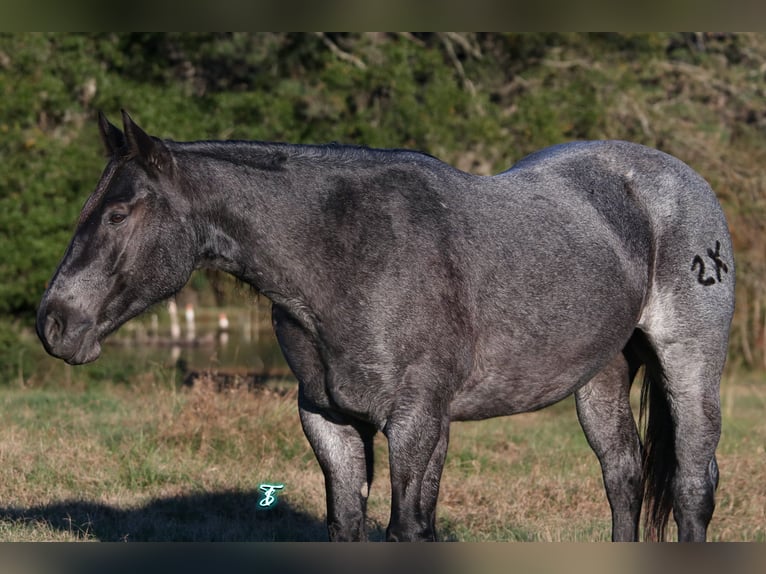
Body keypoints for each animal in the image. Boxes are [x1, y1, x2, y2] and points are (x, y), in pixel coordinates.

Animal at [37, 110, 736, 544]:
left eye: (120, 213)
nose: (54, 323)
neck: (351, 255)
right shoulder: (329, 419)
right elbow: (351, 523)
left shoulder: (415, 421)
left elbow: (407, 526)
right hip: (600, 378)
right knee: (623, 479)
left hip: (690, 366)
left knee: (692, 486)